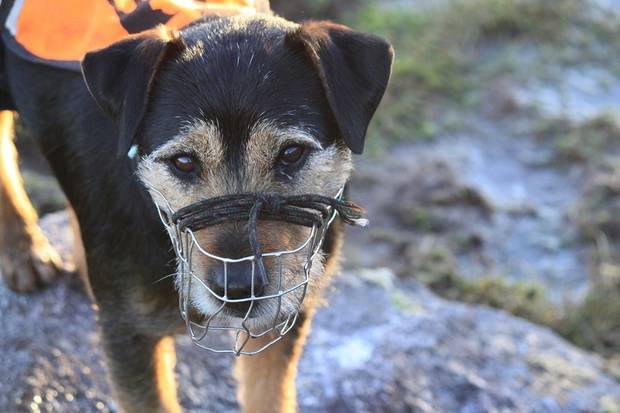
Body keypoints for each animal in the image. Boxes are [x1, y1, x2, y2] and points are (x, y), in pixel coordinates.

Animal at [0, 1, 392, 410]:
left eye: (292, 153)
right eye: (183, 161)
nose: (239, 288)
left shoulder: (285, 315)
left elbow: (269, 395)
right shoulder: (129, 333)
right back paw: (24, 252)